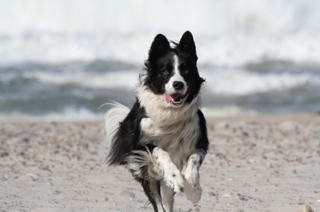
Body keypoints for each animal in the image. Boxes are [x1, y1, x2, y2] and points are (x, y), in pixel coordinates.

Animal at [106, 31, 209, 212]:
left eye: (186, 70)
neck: (170, 112)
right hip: (145, 171)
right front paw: (175, 177)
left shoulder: (200, 139)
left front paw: (193, 191)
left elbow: (193, 163)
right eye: (165, 71)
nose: (178, 84)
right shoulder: (139, 143)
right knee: (158, 200)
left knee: (167, 198)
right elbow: (161, 152)